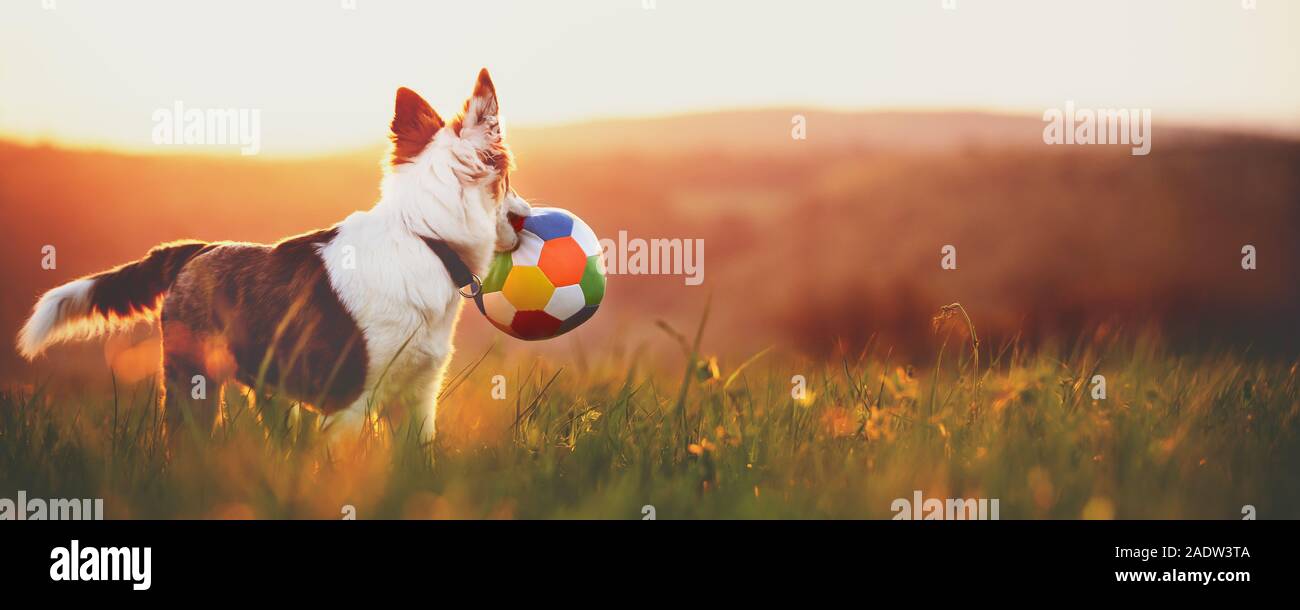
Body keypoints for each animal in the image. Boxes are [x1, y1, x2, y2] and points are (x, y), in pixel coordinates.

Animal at [10, 68, 527, 444]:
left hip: (270, 393)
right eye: (509, 183)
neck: (425, 238)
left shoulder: (417, 400)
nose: (525, 218)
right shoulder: (347, 401)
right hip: (192, 383)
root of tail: (194, 251)